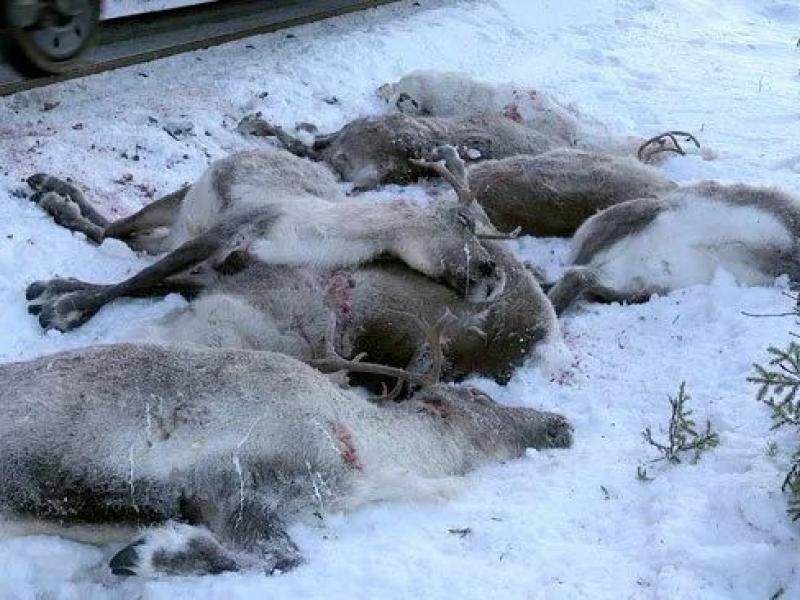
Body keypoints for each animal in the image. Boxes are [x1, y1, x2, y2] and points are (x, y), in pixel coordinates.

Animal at [24, 147, 509, 333]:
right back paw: (52, 191)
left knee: (129, 241)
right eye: (464, 222)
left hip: (180, 226)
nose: (496, 276)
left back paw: (55, 201)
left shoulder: (218, 270)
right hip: (187, 203)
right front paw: (63, 305)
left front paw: (58, 295)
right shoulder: (231, 230)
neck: (322, 236)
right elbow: (136, 281)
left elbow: (151, 283)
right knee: (117, 229)